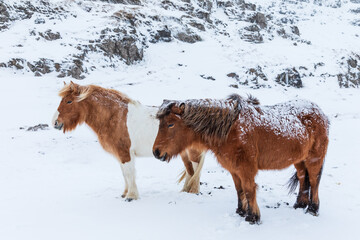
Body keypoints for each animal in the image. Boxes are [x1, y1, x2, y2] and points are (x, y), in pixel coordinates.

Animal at [53, 82, 205, 201]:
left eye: (69, 101)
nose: (55, 122)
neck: (115, 116)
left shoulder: (125, 153)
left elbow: (129, 173)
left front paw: (131, 196)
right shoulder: (121, 154)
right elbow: (124, 173)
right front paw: (125, 193)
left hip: (192, 152)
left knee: (195, 168)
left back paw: (193, 191)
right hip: (183, 153)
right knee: (190, 170)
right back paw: (186, 191)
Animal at [152, 93, 330, 223]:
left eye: (170, 124)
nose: (156, 152)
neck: (231, 130)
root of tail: (320, 112)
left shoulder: (246, 169)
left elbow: (249, 190)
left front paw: (253, 217)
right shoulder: (234, 169)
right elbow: (240, 190)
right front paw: (241, 212)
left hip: (314, 158)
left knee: (314, 181)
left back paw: (313, 209)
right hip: (299, 160)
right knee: (302, 178)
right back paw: (299, 205)